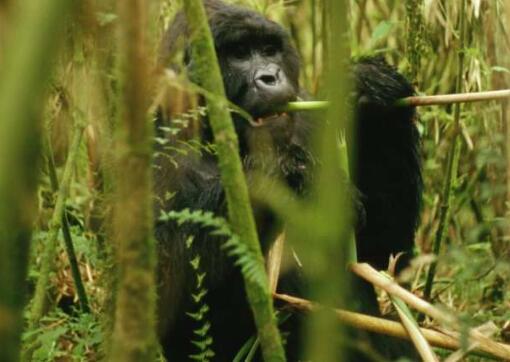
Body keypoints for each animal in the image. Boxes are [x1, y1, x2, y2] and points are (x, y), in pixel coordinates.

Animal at [154, 1, 422, 360]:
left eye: (270, 50)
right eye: (239, 54)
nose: (270, 76)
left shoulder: (309, 116)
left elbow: (383, 251)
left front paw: (374, 92)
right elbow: (164, 285)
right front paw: (286, 174)